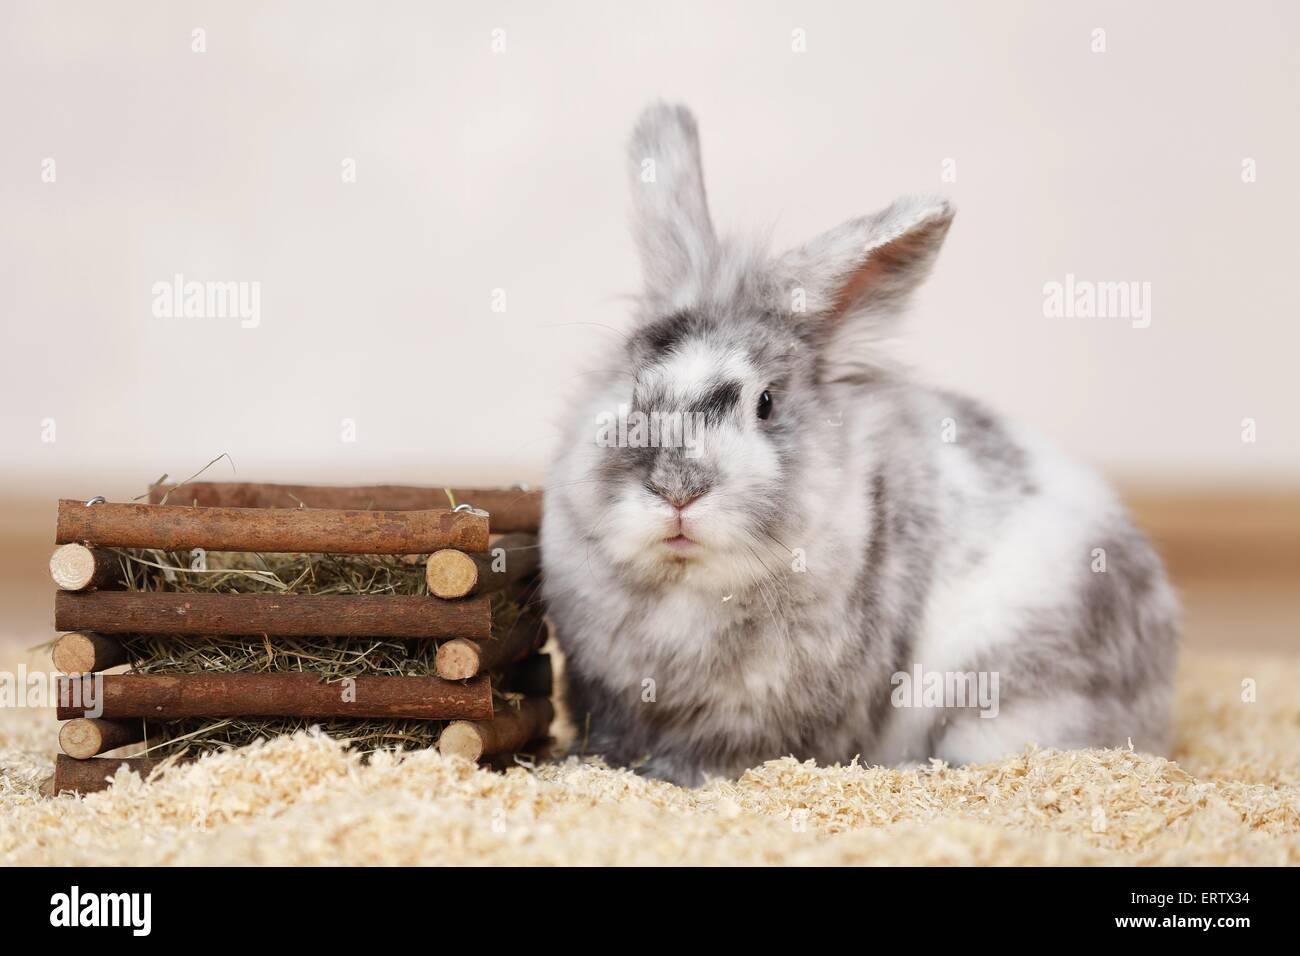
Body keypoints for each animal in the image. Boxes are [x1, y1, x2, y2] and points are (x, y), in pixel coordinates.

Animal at [541, 103, 1179, 787]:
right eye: (633, 388)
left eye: (766, 403)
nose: (677, 489)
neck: (685, 589)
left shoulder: (762, 714)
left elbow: (721, 753)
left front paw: (669, 776)